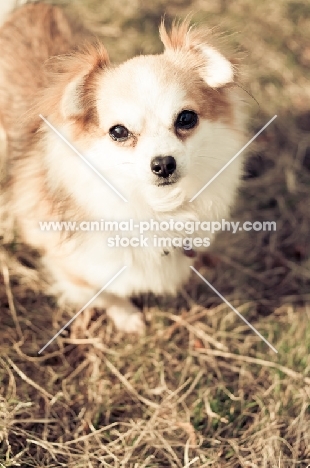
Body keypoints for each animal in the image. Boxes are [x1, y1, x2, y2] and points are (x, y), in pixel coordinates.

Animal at [0, 1, 247, 334]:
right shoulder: (67, 263)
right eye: (118, 132)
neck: (155, 207)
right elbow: (103, 293)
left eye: (186, 118)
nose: (163, 164)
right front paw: (127, 317)